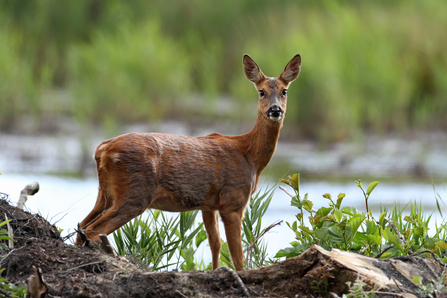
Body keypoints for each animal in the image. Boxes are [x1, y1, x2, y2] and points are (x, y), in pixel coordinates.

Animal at [75, 53, 302, 270]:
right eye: (261, 91)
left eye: (284, 91)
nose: (275, 110)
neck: (250, 154)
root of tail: (103, 149)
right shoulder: (233, 200)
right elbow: (237, 258)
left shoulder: (209, 204)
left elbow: (215, 244)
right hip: (135, 193)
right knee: (93, 229)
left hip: (106, 193)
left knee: (82, 226)